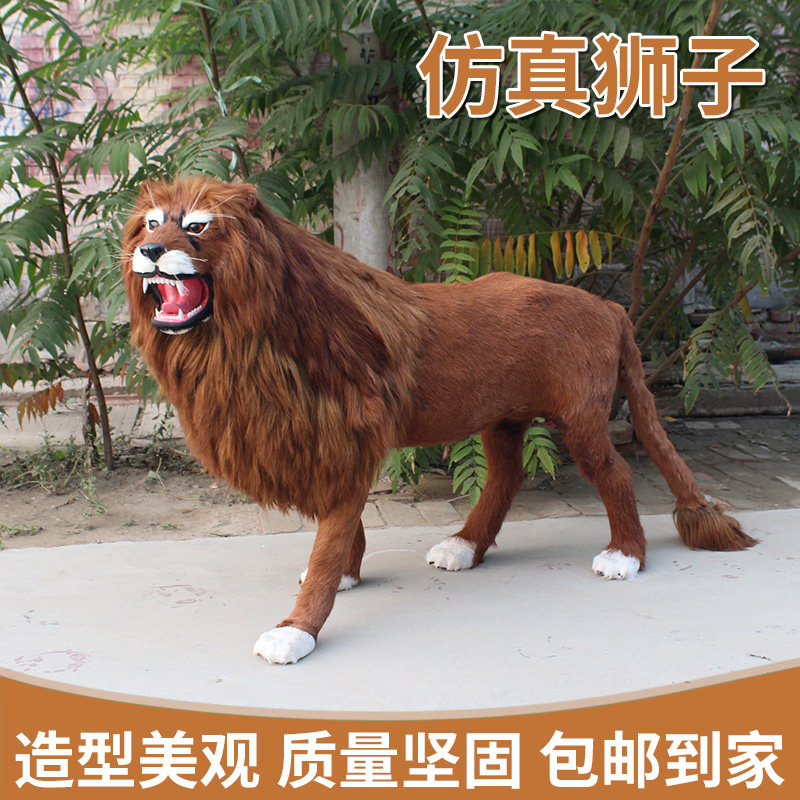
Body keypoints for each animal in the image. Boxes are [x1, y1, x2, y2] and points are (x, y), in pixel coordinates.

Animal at [122, 177, 755, 664]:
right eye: (150, 223)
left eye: (198, 225)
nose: (149, 253)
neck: (245, 339)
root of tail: (610, 306)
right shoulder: (331, 446)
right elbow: (345, 531)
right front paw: (348, 576)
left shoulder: (348, 442)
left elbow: (329, 540)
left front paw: (297, 630)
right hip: (501, 418)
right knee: (506, 477)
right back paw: (464, 548)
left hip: (581, 418)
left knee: (616, 475)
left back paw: (624, 557)